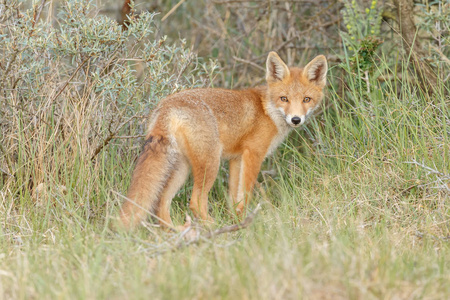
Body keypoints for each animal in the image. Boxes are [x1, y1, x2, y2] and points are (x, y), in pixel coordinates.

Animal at [118, 52, 326, 230]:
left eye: (306, 99)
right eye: (284, 99)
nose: (296, 119)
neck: (267, 110)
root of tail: (166, 106)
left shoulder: (237, 159)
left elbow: (235, 197)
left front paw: (236, 219)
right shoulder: (253, 154)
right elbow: (246, 193)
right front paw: (243, 223)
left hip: (182, 168)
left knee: (161, 203)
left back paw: (176, 232)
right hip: (210, 163)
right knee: (195, 201)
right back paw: (213, 227)